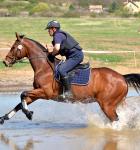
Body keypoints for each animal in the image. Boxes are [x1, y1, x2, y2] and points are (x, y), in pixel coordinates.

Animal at [1, 32, 140, 124]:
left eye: (13, 47)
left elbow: (22, 94)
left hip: (107, 105)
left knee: (115, 120)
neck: (44, 67)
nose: (5, 62)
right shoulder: (37, 93)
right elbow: (20, 103)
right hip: (116, 103)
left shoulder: (45, 93)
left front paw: (28, 114)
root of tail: (122, 77)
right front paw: (4, 118)